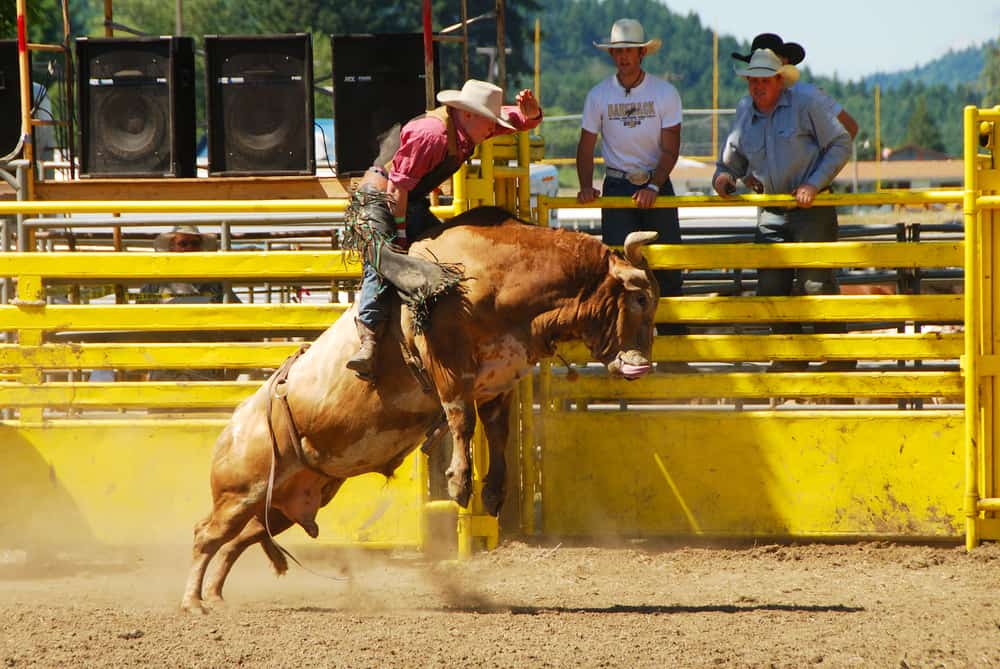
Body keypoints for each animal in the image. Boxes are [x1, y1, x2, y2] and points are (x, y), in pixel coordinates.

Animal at [183, 206, 660, 612]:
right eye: (640, 300)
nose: (641, 366)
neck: (499, 274)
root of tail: (231, 429)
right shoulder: (447, 362)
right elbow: (461, 418)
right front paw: (459, 485)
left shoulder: (498, 382)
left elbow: (498, 431)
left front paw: (493, 492)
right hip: (240, 491)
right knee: (206, 534)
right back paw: (193, 602)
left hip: (285, 503)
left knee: (238, 539)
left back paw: (217, 596)